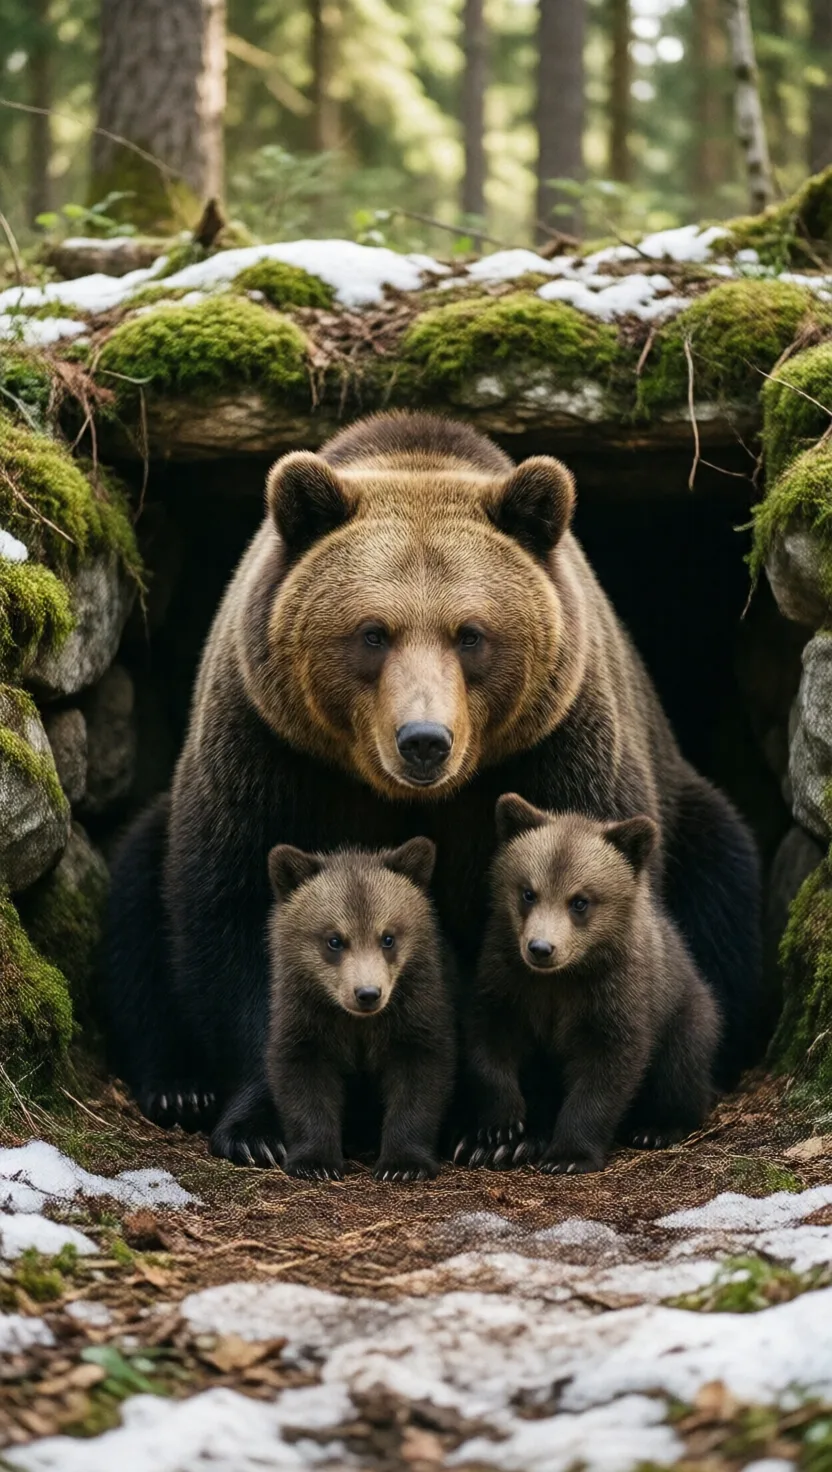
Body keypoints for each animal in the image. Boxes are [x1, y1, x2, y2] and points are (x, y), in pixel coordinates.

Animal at [262, 836, 454, 1181]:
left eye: (388, 937)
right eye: (334, 940)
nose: (368, 994)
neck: (358, 1022)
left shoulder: (415, 1012)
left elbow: (420, 1078)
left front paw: (404, 1164)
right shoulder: (304, 1016)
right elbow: (302, 1080)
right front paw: (315, 1161)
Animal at [454, 795, 720, 1174]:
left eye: (580, 901)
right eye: (528, 893)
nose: (540, 949)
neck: (561, 979)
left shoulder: (615, 992)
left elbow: (605, 1071)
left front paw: (568, 1155)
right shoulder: (506, 978)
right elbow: (488, 1041)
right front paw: (499, 1131)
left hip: (688, 1015)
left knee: (681, 1069)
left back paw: (656, 1128)